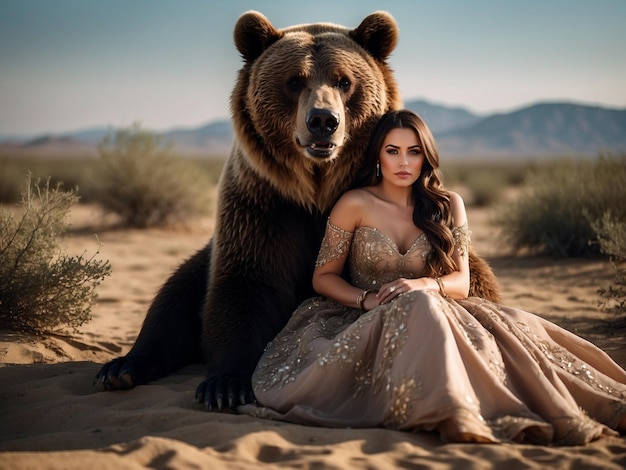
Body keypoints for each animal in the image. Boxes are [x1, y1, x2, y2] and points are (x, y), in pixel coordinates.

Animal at [96, 10, 498, 412]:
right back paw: (123, 368)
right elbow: (245, 282)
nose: (322, 120)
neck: (317, 192)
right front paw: (225, 384)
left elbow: (472, 280)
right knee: (174, 297)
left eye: (344, 80)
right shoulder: (264, 205)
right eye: (294, 81)